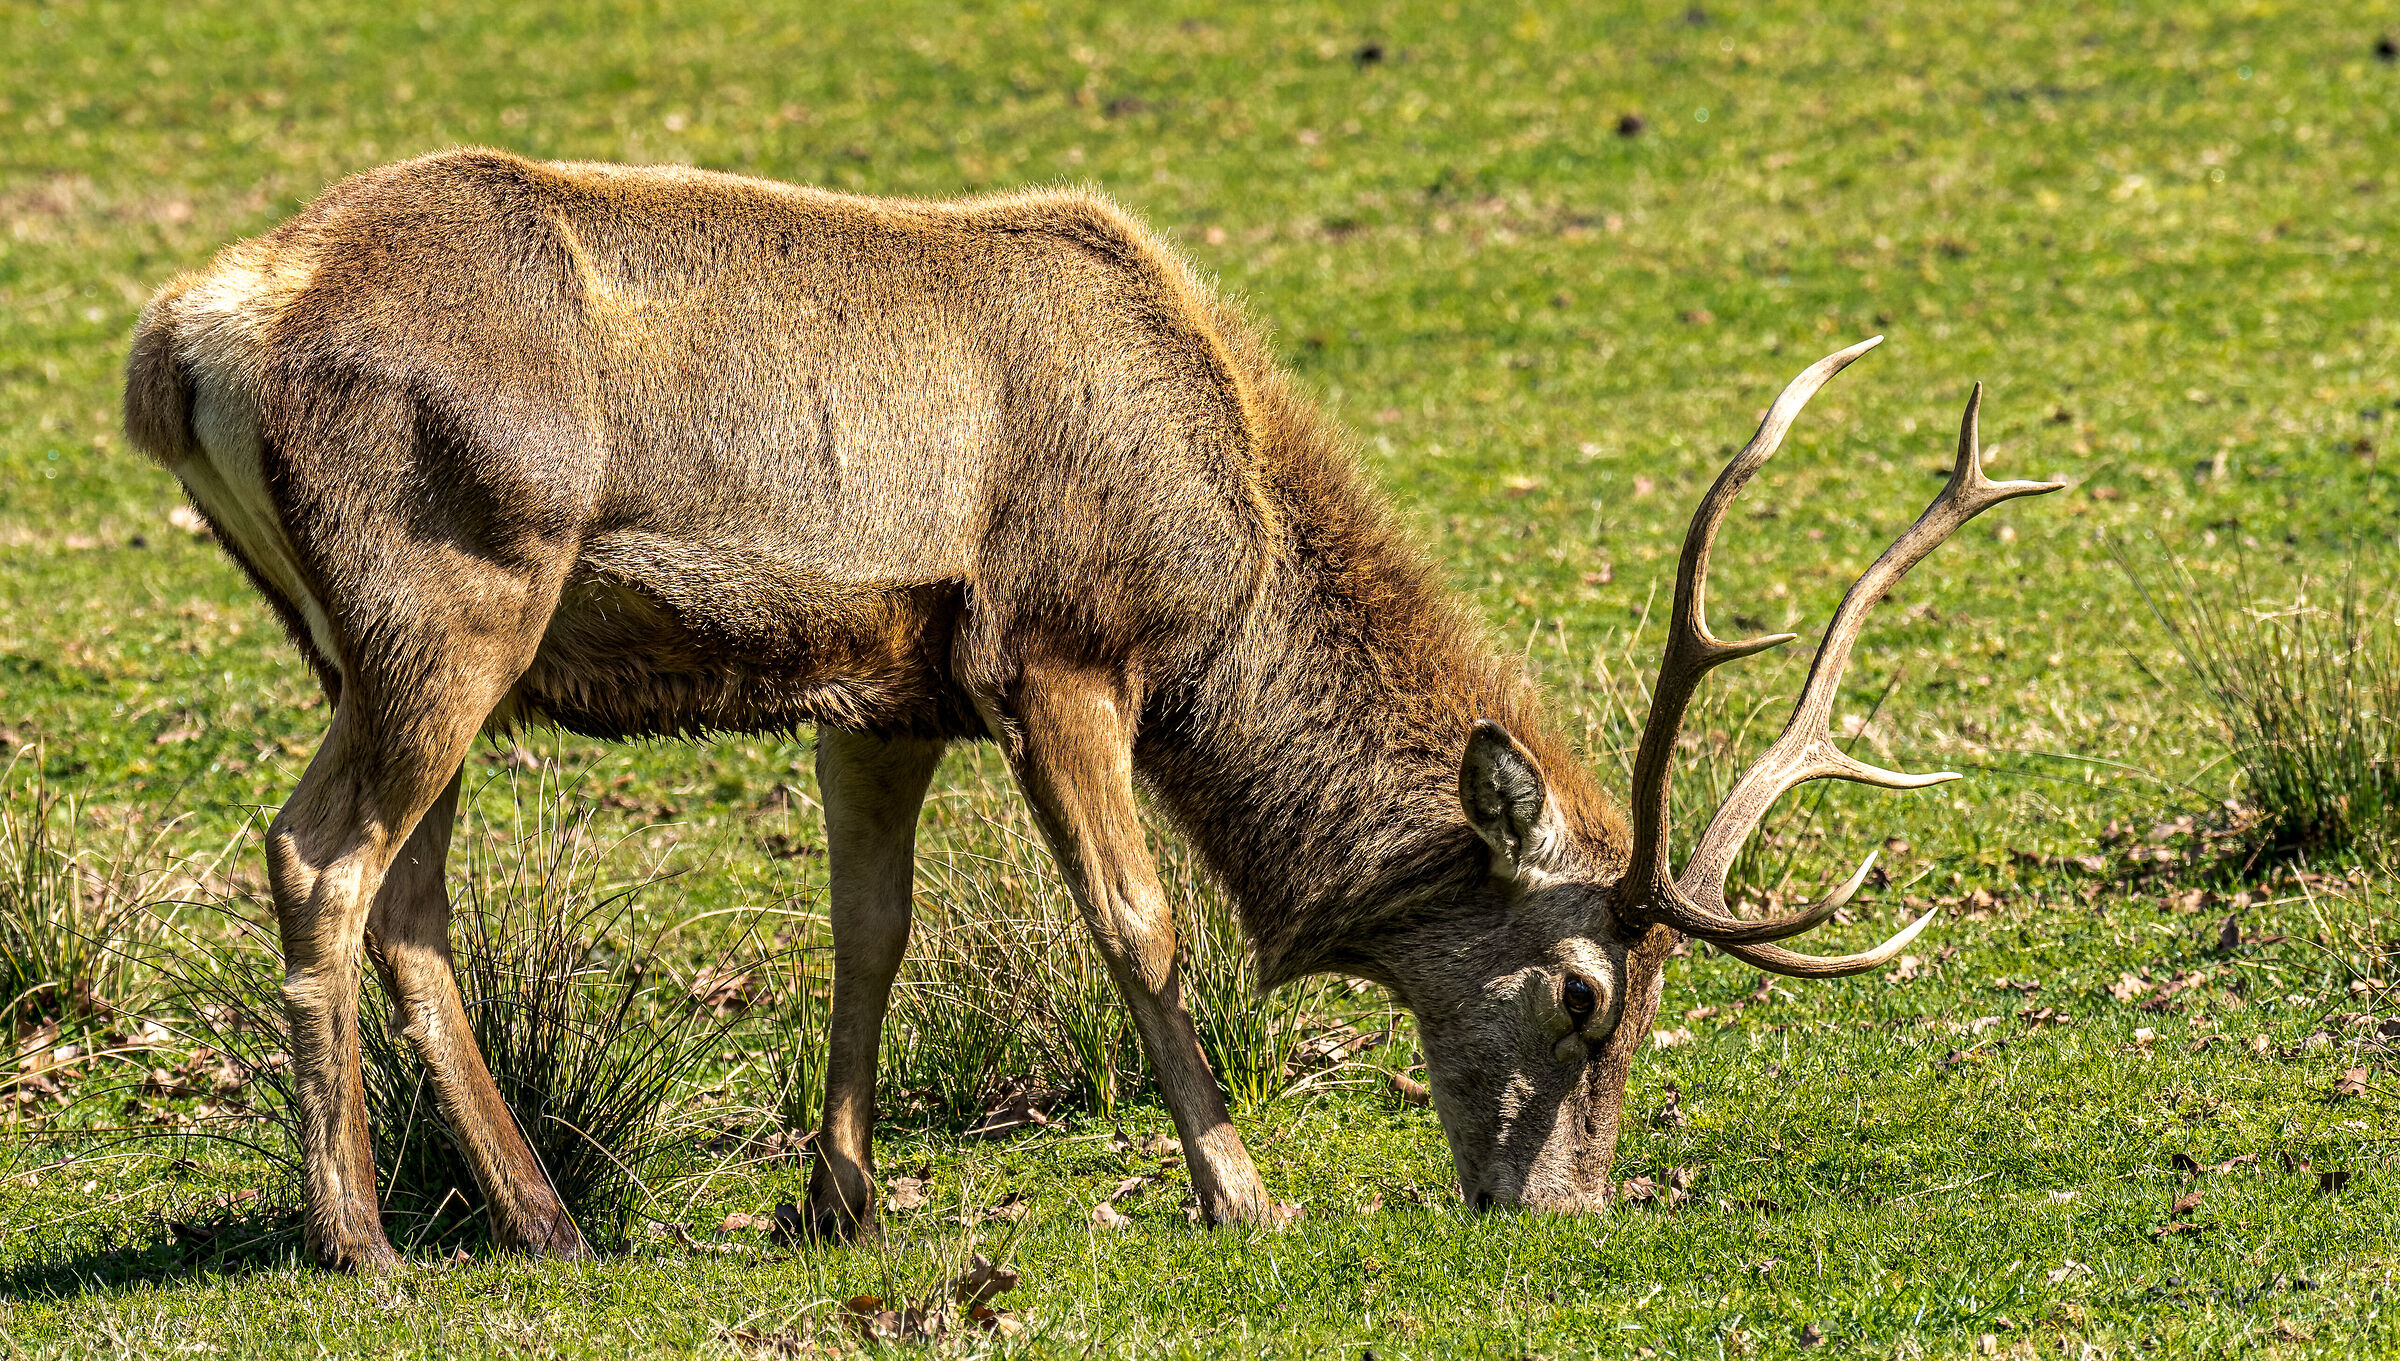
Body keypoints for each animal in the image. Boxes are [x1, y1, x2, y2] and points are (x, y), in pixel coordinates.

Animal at [123, 148, 2059, 1271]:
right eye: (1584, 993)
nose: (1558, 1208)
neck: (1226, 569)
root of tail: (184, 339)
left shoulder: (881, 687)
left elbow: (872, 931)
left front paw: (838, 1201)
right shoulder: (1057, 646)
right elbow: (1137, 921)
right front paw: (1244, 1191)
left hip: (382, 643)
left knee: (411, 899)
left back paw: (539, 1220)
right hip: (450, 594)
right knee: (316, 860)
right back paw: (362, 1240)